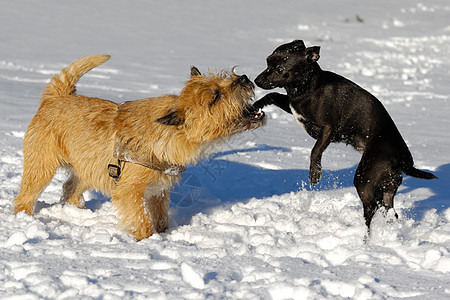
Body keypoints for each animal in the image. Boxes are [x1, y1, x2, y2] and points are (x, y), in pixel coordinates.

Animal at [15, 55, 266, 240]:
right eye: (215, 97)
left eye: (222, 78)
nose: (244, 78)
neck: (168, 136)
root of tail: (56, 97)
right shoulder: (130, 191)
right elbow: (143, 220)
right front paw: (146, 240)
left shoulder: (159, 191)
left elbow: (161, 218)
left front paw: (164, 235)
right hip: (42, 166)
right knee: (25, 196)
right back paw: (24, 218)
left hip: (87, 168)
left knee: (70, 188)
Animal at [255, 40, 438, 230]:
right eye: (268, 62)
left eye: (280, 69)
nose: (256, 80)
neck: (309, 86)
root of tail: (402, 160)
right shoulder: (293, 106)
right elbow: (273, 95)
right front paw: (256, 105)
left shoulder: (328, 129)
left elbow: (315, 150)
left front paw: (315, 174)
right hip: (387, 187)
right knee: (389, 211)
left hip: (364, 179)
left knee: (371, 209)